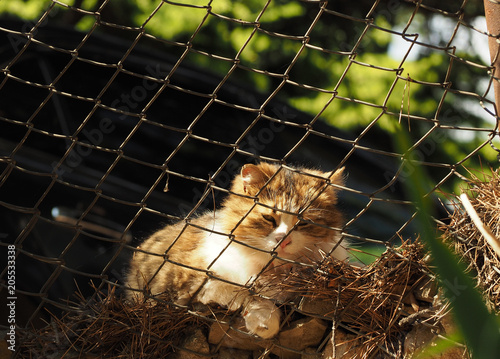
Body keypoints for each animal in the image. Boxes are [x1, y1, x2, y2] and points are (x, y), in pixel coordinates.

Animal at [125, 163, 348, 340]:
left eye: (302, 223)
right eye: (268, 218)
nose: (283, 240)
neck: (274, 269)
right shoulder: (188, 276)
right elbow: (242, 288)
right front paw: (265, 322)